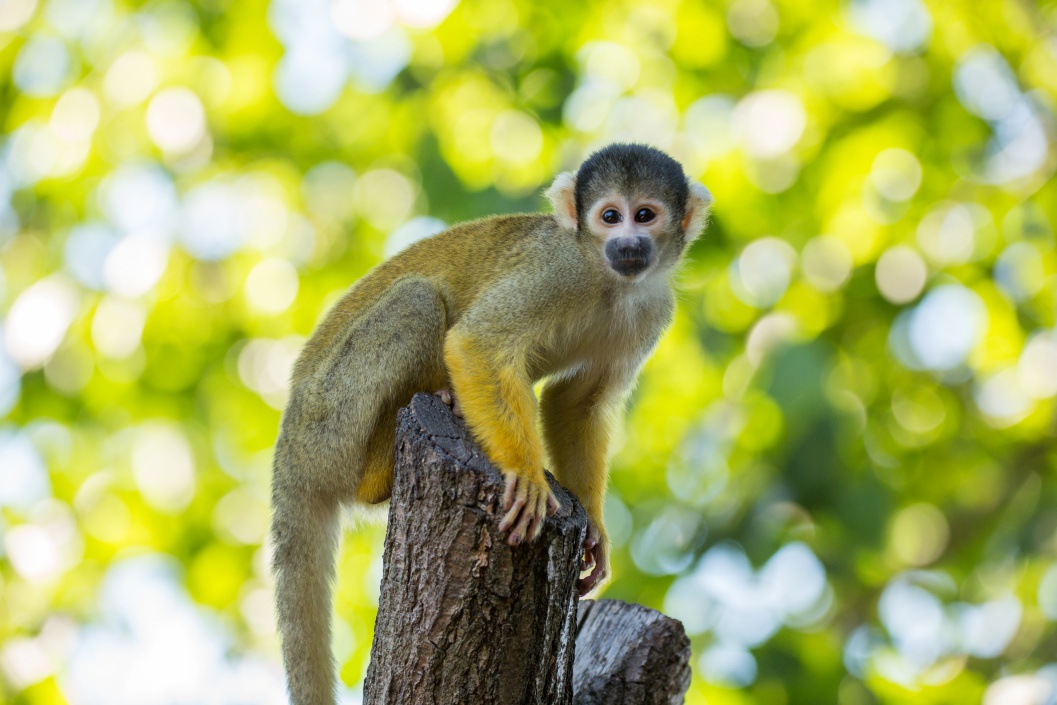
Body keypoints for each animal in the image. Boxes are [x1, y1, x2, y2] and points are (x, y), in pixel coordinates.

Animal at [272, 144, 714, 705]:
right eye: (610, 217)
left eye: (646, 215)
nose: (628, 243)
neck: (606, 278)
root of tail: (289, 450)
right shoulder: (557, 270)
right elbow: (476, 344)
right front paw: (525, 473)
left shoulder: (654, 310)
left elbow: (576, 404)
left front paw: (594, 529)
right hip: (327, 422)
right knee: (416, 301)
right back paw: (379, 472)